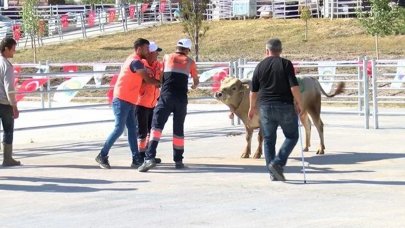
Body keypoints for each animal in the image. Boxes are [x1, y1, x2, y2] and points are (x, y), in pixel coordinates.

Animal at [213, 77, 342, 158]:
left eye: (234, 87)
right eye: (222, 84)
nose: (218, 93)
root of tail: (312, 79)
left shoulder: (263, 122)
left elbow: (260, 137)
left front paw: (257, 154)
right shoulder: (247, 123)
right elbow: (247, 138)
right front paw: (245, 153)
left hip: (313, 108)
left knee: (319, 126)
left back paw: (321, 149)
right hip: (302, 111)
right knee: (307, 125)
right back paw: (306, 147)